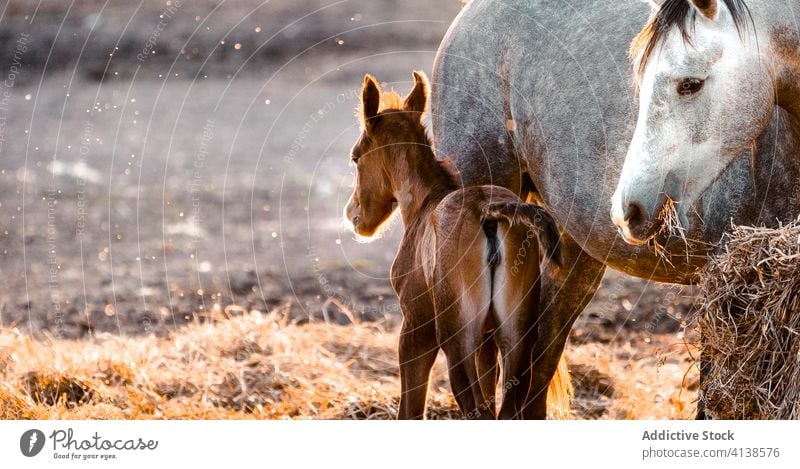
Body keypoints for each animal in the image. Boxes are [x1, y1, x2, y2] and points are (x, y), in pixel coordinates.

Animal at [344, 71, 568, 418]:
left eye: (355, 157)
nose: (354, 216)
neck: (426, 203)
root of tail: (490, 211)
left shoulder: (416, 328)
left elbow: (410, 408)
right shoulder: (488, 339)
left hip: (457, 339)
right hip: (515, 338)